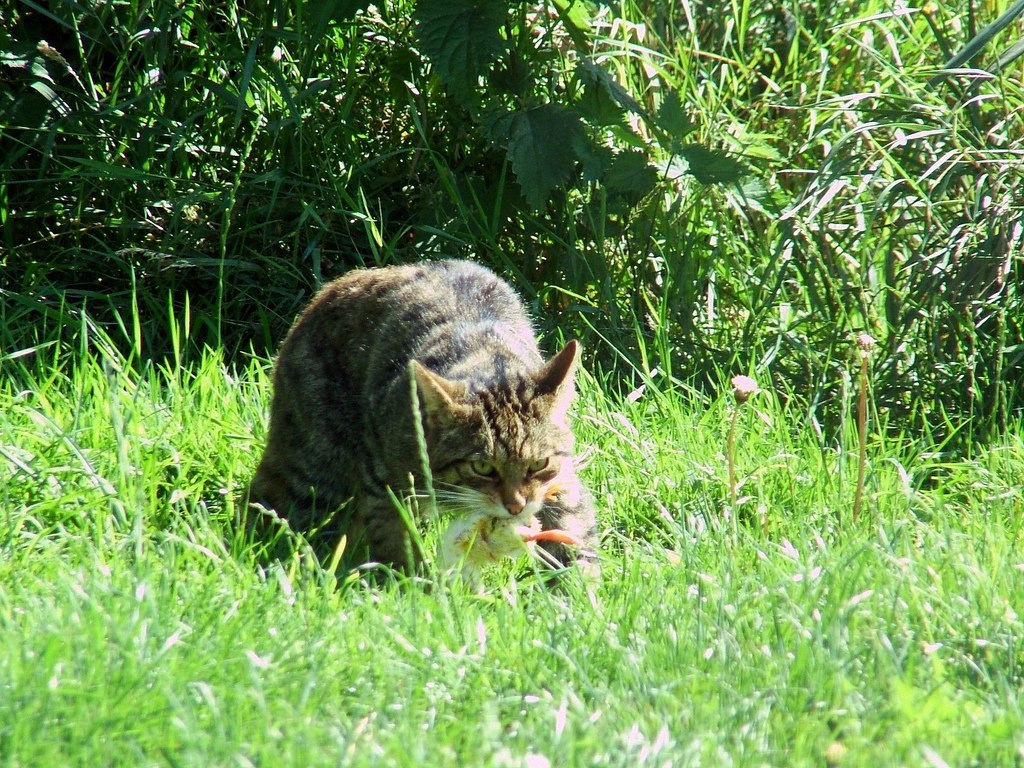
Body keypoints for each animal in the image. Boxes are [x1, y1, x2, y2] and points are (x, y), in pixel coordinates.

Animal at [248, 262, 598, 581]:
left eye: (539, 464)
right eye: (482, 467)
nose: (516, 507)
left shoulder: (563, 485)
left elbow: (574, 538)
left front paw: (577, 592)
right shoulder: (385, 490)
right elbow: (398, 550)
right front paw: (417, 589)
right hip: (315, 471)